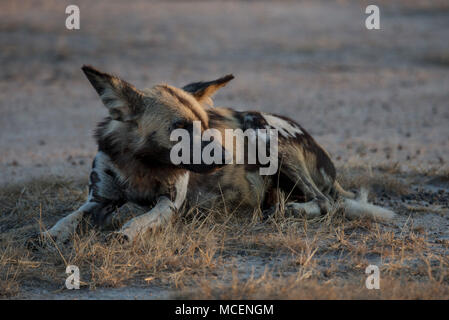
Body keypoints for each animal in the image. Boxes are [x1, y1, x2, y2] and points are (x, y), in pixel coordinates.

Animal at [28, 65, 392, 245]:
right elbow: (69, 219)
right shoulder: (99, 201)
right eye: (180, 128)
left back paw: (288, 211)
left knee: (327, 202)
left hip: (265, 134)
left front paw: (126, 234)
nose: (224, 158)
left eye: (205, 125)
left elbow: (140, 220)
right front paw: (49, 236)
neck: (141, 163)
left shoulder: (168, 205)